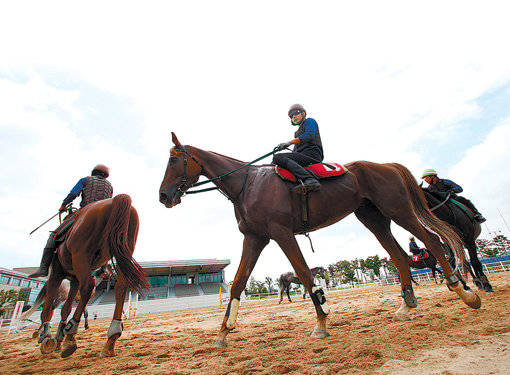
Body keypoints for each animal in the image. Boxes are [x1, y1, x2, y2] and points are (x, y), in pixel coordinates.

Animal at [34, 195, 147, 360]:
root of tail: (115, 200)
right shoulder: (74, 279)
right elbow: (66, 309)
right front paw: (58, 337)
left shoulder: (56, 273)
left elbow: (49, 306)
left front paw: (46, 335)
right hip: (124, 249)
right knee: (120, 287)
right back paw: (111, 338)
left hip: (81, 256)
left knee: (87, 287)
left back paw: (71, 334)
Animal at [160, 133, 482, 350]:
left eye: (174, 159)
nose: (163, 195)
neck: (247, 184)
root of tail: (386, 166)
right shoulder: (255, 238)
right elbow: (238, 283)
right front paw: (223, 332)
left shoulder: (281, 233)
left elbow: (304, 274)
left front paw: (322, 321)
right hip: (374, 219)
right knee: (400, 256)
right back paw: (406, 305)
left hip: (398, 210)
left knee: (434, 242)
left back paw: (465, 292)